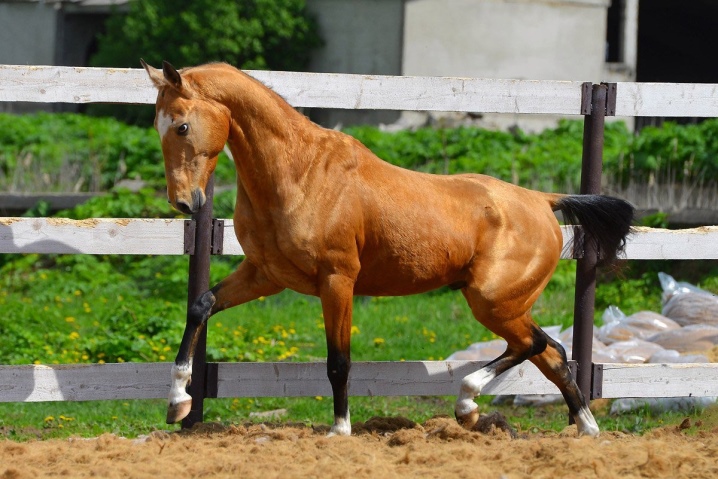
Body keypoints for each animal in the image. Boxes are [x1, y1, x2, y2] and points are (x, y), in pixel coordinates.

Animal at [143, 61, 632, 438]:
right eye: (157, 126)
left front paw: (340, 430)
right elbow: (200, 305)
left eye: (182, 125)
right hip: (502, 304)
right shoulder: (265, 274)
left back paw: (468, 404)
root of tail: (543, 200)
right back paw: (585, 429)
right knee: (553, 354)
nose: (184, 203)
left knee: (537, 344)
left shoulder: (337, 280)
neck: (299, 172)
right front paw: (177, 401)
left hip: (492, 300)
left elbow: (338, 361)